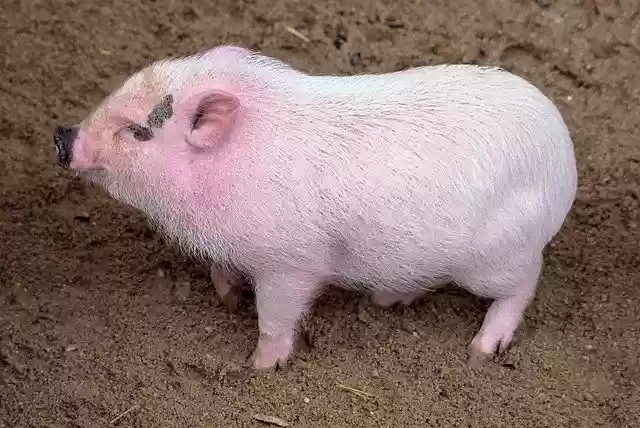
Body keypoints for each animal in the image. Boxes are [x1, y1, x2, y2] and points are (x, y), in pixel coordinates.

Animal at [53, 45, 578, 370]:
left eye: (137, 131)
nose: (62, 136)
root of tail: (563, 154)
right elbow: (223, 271)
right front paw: (228, 298)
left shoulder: (290, 263)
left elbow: (276, 316)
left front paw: (257, 368)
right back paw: (384, 301)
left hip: (496, 257)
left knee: (526, 282)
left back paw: (482, 351)